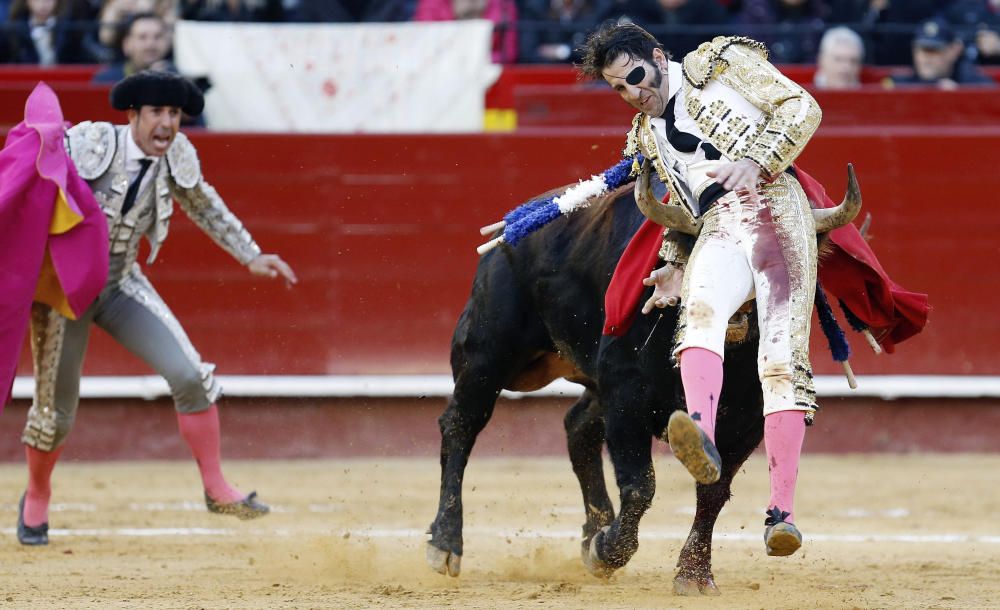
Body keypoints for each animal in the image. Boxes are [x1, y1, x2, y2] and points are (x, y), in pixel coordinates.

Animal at [428, 182, 764, 592]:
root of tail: (511, 225)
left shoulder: (749, 420)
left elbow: (713, 491)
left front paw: (694, 574)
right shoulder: (625, 394)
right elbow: (640, 484)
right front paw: (608, 550)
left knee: (577, 427)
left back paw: (595, 528)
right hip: (486, 354)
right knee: (460, 424)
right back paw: (446, 543)